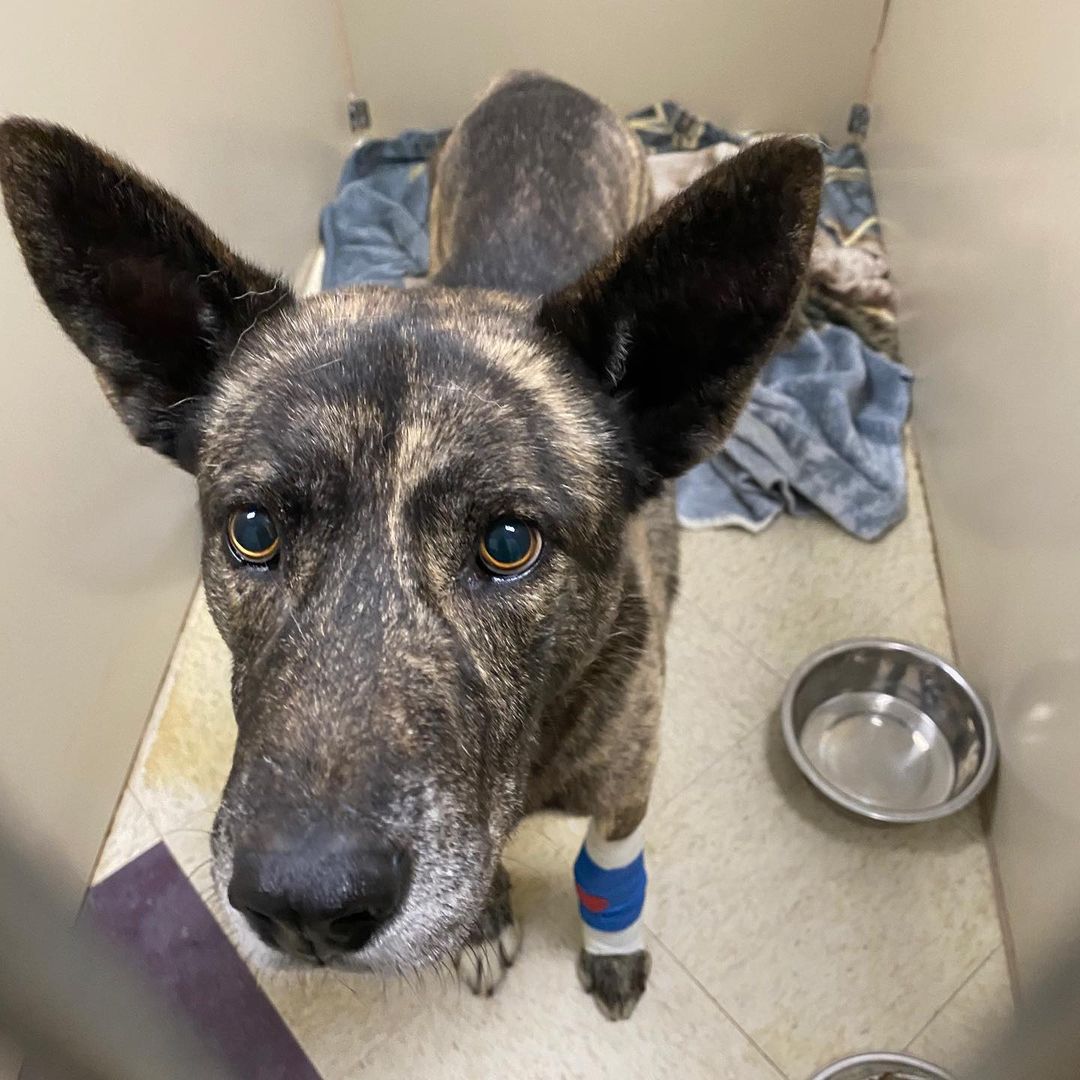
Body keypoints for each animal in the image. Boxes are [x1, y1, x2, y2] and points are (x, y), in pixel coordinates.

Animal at [0, 76, 816, 1019]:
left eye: (509, 542)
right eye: (253, 529)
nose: (305, 910)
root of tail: (536, 80)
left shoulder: (628, 786)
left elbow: (610, 865)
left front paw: (612, 949)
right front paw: (486, 920)